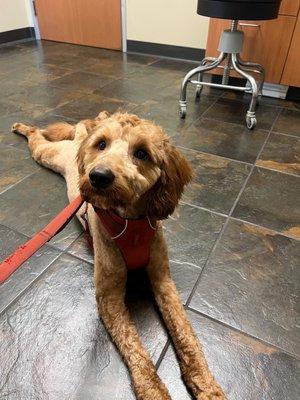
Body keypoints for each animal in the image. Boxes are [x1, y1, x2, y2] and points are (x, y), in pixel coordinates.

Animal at [11, 112, 225, 400]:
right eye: (102, 144)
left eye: (142, 152)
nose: (98, 176)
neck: (131, 224)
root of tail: (82, 140)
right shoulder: (109, 298)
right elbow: (134, 347)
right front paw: (153, 389)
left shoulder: (163, 280)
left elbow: (185, 333)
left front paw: (206, 384)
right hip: (47, 154)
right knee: (37, 136)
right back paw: (22, 127)